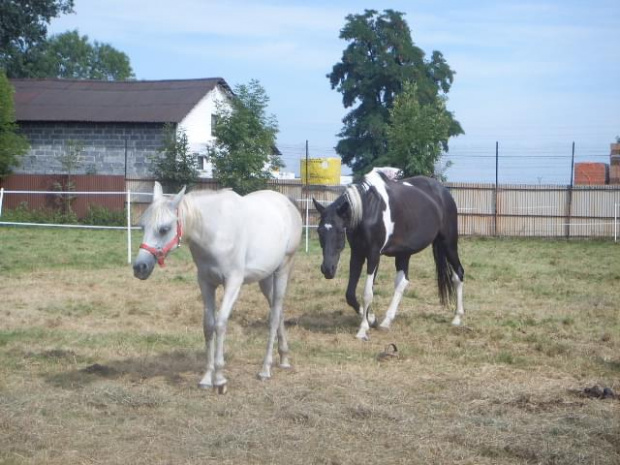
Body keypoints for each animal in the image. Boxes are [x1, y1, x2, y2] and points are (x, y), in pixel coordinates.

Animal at [133, 181, 302, 392]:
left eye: (164, 229)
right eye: (142, 226)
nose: (140, 267)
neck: (215, 232)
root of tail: (287, 204)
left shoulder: (233, 283)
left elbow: (220, 324)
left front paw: (220, 379)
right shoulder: (206, 283)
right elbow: (208, 325)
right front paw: (207, 378)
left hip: (283, 270)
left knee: (273, 317)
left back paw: (265, 369)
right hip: (265, 279)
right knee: (278, 312)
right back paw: (284, 357)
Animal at [314, 169, 464, 338]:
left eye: (340, 232)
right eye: (319, 231)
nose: (327, 269)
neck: (368, 210)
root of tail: (444, 192)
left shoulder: (373, 255)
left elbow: (367, 293)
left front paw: (363, 329)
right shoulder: (357, 254)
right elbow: (350, 294)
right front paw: (372, 319)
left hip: (448, 243)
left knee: (458, 274)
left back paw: (457, 318)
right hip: (404, 253)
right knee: (402, 282)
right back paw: (386, 321)